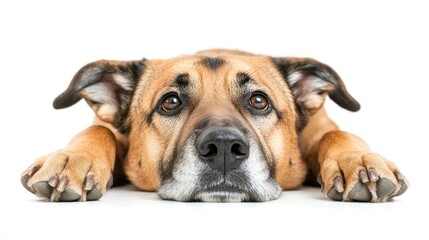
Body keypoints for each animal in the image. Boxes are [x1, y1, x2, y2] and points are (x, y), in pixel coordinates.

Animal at [20, 49, 408, 202]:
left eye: (259, 101)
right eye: (170, 102)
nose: (223, 149)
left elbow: (336, 132)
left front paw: (358, 162)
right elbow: (98, 129)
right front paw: (70, 161)